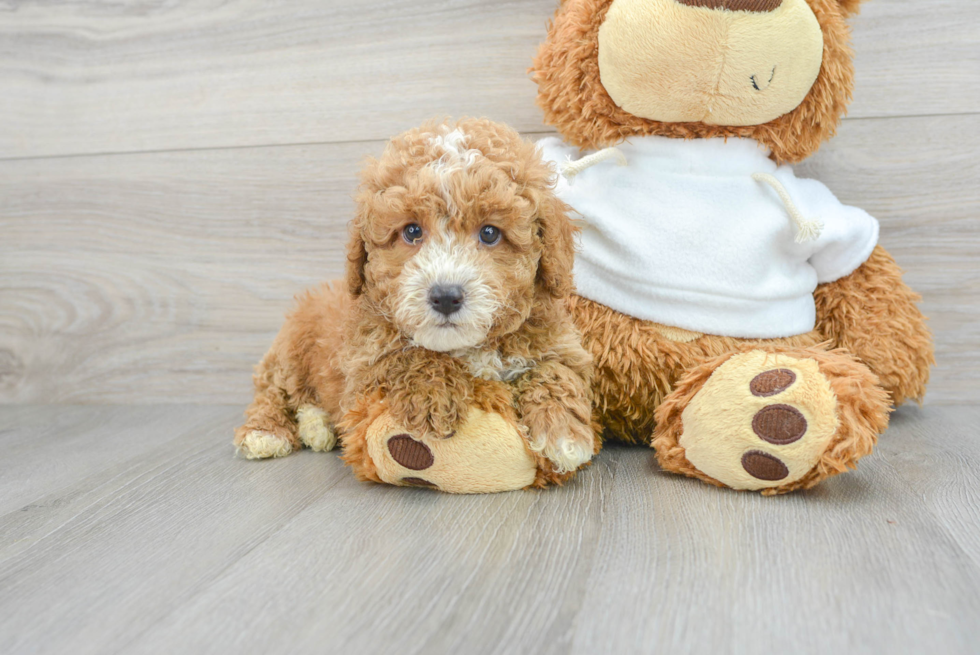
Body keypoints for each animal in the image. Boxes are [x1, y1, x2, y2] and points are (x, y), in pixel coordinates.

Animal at [234, 118, 596, 492]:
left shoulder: (559, 346)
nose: (446, 296)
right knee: (273, 393)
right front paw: (435, 397)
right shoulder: (364, 366)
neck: (467, 348)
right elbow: (407, 354)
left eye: (490, 233)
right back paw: (267, 433)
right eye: (411, 231)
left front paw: (564, 435)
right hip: (289, 353)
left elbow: (556, 372)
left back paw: (316, 426)